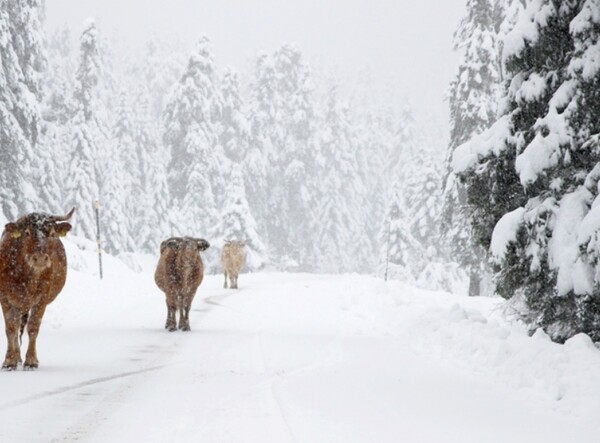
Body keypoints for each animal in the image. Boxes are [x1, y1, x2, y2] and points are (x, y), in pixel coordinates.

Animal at [0, 208, 74, 372]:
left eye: (52, 233)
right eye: (27, 233)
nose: (39, 258)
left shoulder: (42, 299)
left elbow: (33, 327)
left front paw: (31, 361)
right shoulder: (5, 297)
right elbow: (11, 328)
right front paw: (9, 361)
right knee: (17, 326)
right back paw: (17, 357)